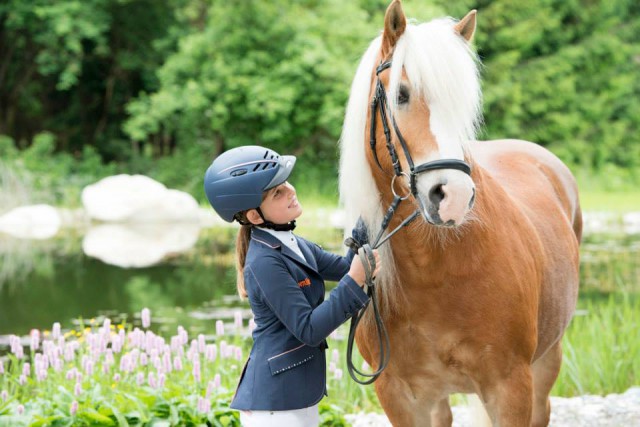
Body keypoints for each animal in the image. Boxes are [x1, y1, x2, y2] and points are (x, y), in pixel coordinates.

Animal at [338, 1, 584, 426]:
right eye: (401, 94)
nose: (452, 196)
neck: (435, 267)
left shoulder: (509, 388)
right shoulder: (401, 397)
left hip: (546, 363)